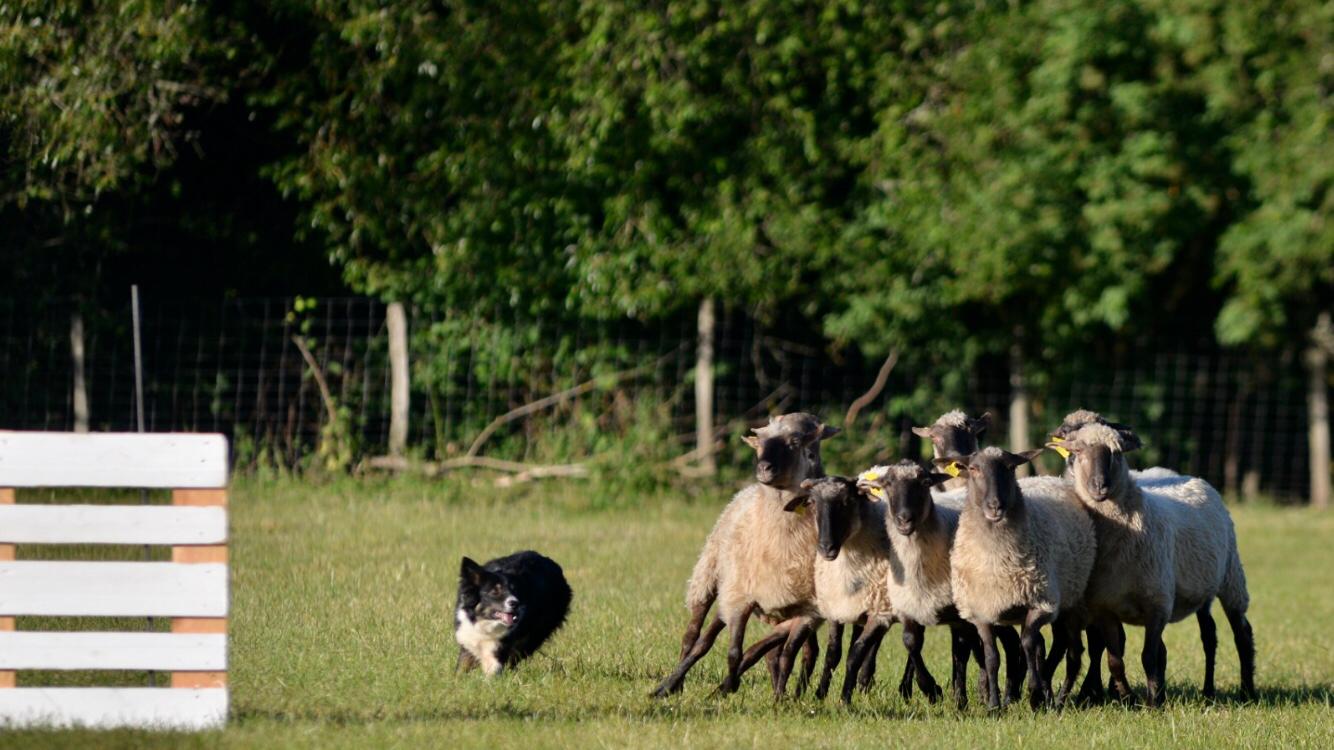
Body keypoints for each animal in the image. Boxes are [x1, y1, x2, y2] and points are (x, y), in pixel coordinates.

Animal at [650, 408, 837, 693]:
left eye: (796, 442)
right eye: (760, 443)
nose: (763, 468)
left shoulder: (807, 611)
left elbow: (783, 653)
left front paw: (777, 694)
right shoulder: (742, 599)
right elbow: (733, 652)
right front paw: (726, 688)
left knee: (793, 651)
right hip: (713, 575)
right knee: (694, 635)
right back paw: (675, 683)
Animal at [853, 459, 1029, 709]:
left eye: (925, 483)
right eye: (887, 484)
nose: (904, 519)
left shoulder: (959, 615)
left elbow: (960, 652)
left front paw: (958, 699)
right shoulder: (911, 606)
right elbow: (911, 643)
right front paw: (930, 689)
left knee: (1004, 643)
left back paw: (1004, 693)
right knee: (1008, 642)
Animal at [1045, 424, 1253, 704]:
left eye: (1117, 453)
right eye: (1077, 452)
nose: (1100, 486)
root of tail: (1197, 479)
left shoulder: (1158, 604)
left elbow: (1149, 657)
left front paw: (1153, 702)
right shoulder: (1106, 608)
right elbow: (1115, 660)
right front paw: (1128, 696)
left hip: (1231, 576)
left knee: (1242, 632)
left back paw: (1247, 691)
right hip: (1204, 589)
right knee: (1209, 635)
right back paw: (1208, 691)